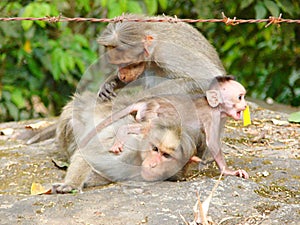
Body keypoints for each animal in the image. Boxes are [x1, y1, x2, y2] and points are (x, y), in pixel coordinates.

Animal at [96, 13, 225, 99]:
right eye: (118, 65)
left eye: (129, 64)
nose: (122, 76)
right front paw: (109, 83)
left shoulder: (167, 52)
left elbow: (207, 78)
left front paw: (144, 96)